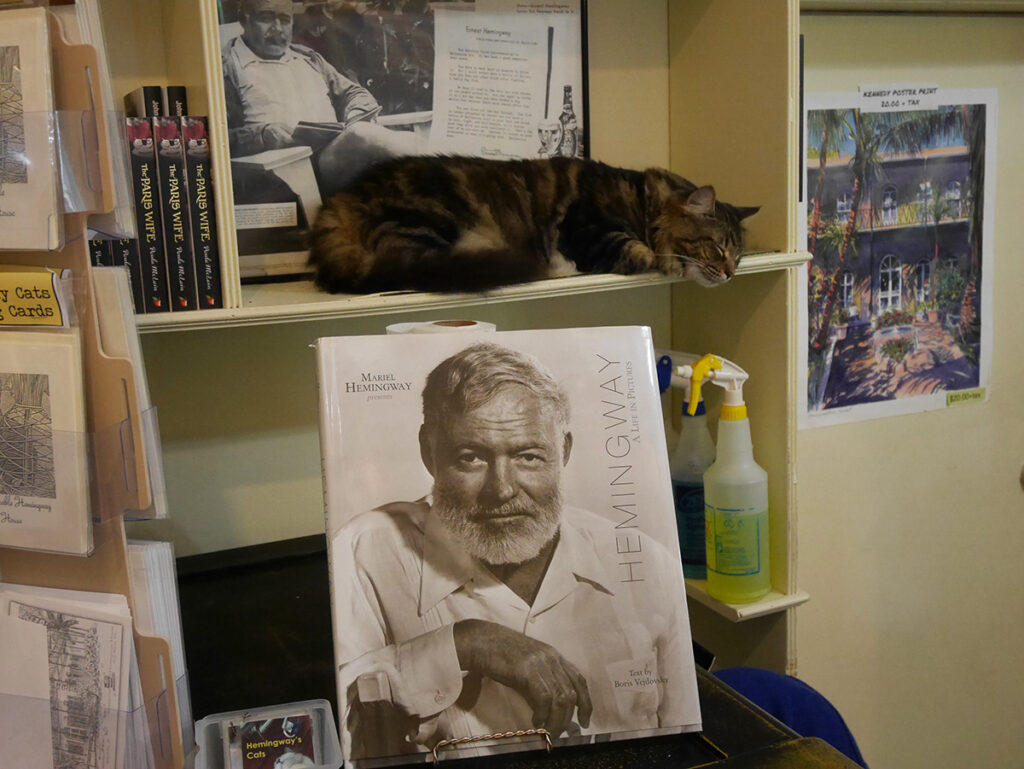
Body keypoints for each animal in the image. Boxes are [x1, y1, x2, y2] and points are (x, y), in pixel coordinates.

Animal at [303, 155, 753, 294]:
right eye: (717, 248)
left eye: (739, 257)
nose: (730, 274)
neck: (642, 201)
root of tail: (339, 201)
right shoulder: (585, 227)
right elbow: (637, 252)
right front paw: (661, 260)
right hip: (430, 220)